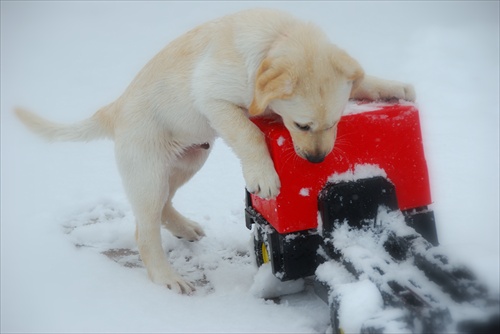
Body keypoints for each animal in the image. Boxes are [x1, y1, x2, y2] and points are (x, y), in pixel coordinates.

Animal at [14, 9, 414, 294]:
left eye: (335, 122)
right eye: (301, 126)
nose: (316, 160)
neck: (275, 40)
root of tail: (114, 109)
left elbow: (363, 79)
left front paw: (395, 85)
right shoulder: (214, 101)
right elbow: (249, 133)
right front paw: (264, 177)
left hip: (191, 159)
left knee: (163, 207)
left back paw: (184, 227)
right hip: (149, 173)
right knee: (145, 229)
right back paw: (167, 277)